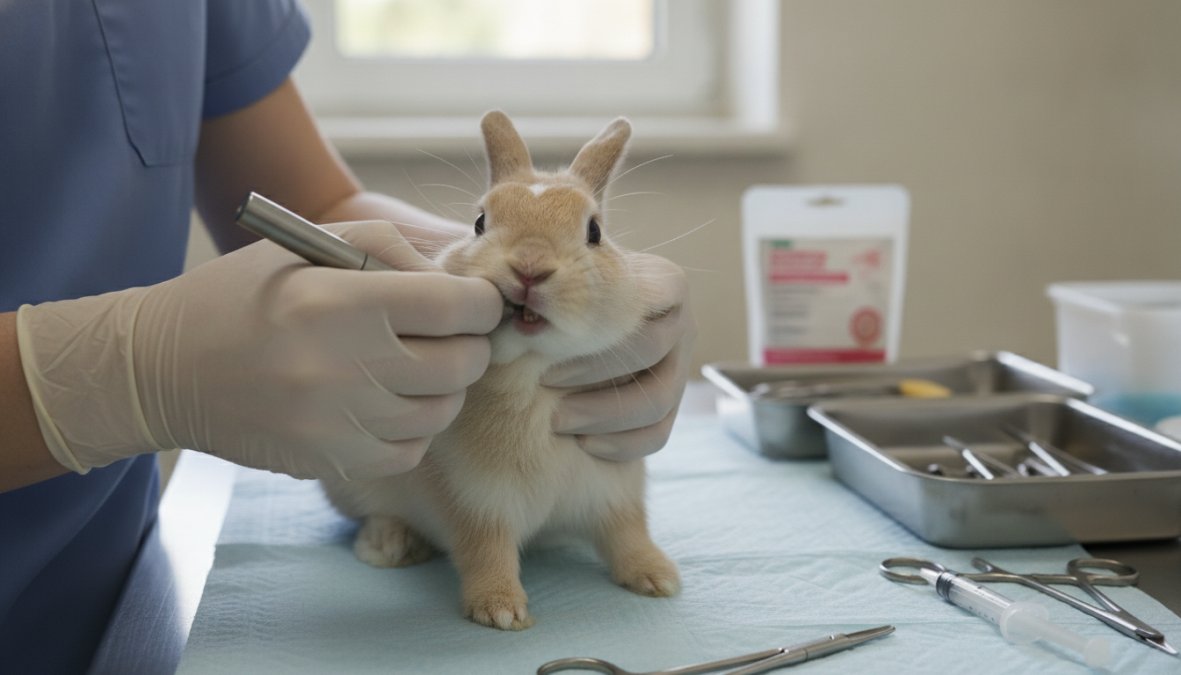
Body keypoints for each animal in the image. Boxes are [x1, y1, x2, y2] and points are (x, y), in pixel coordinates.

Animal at [321, 111, 681, 631]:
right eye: (479, 222)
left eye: (594, 231)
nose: (530, 267)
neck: (531, 375)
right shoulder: (475, 501)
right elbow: (484, 550)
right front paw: (500, 611)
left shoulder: (615, 488)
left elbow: (627, 532)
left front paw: (657, 578)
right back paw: (388, 545)